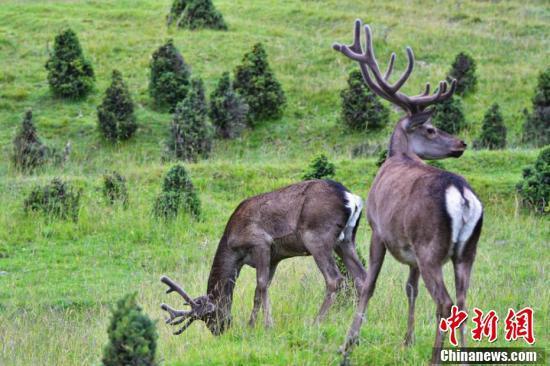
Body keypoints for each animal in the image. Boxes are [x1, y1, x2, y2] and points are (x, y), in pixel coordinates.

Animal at [160, 179, 368, 336]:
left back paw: (316, 322)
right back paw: (360, 320)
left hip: (317, 236)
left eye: (208, 316)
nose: (219, 331)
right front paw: (251, 325)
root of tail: (352, 198)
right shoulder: (274, 257)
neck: (233, 247)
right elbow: (259, 291)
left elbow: (260, 285)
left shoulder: (261, 243)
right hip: (346, 240)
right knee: (362, 277)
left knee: (335, 279)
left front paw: (268, 326)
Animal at [334, 20, 486, 364]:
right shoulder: (412, 253)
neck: (398, 155)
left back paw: (435, 358)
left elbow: (369, 285)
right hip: (466, 250)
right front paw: (407, 341)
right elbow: (410, 288)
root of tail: (462, 195)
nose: (461, 143)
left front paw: (348, 344)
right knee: (463, 300)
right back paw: (463, 353)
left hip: (432, 246)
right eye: (430, 129)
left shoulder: (378, 230)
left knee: (445, 302)